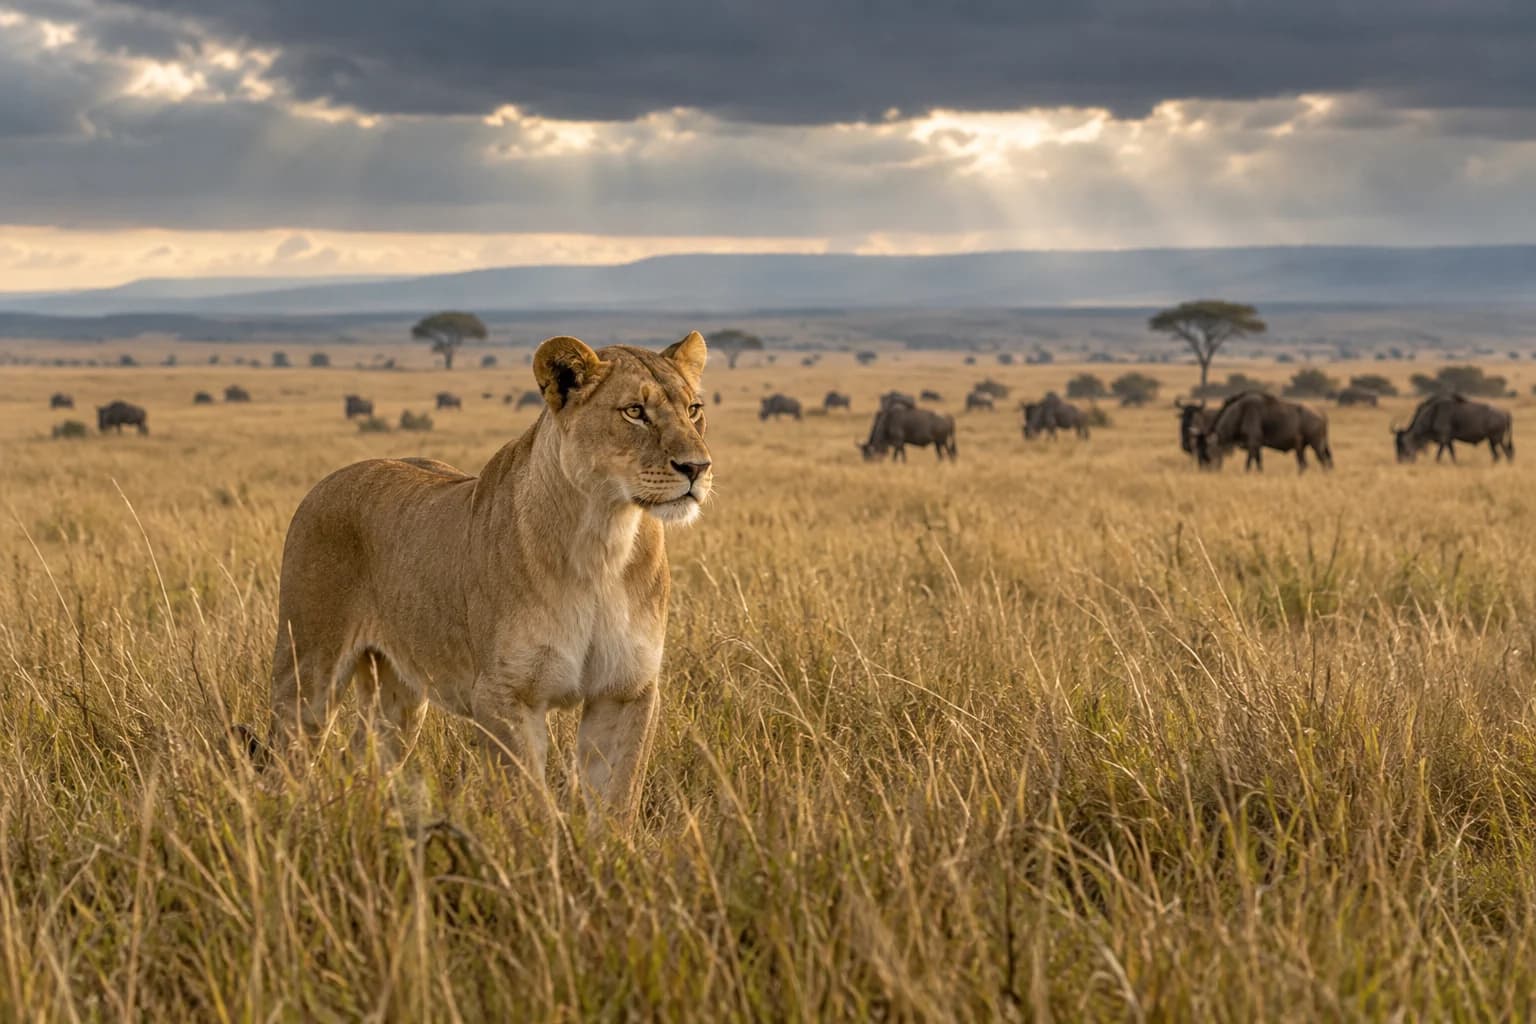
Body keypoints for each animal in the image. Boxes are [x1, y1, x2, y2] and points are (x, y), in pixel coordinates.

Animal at [269, 332, 712, 822]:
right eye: (634, 411)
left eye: (694, 409)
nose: (697, 468)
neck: (603, 539)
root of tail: (327, 480)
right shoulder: (505, 696)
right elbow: (532, 807)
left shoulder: (625, 691)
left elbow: (616, 805)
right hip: (306, 671)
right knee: (286, 759)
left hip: (398, 698)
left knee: (368, 757)